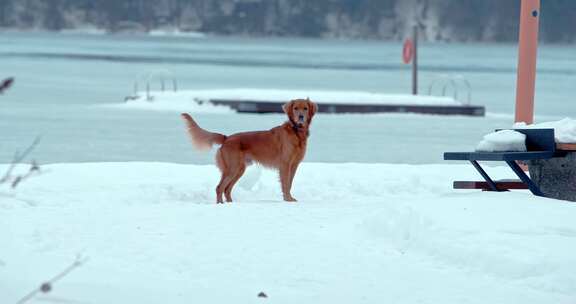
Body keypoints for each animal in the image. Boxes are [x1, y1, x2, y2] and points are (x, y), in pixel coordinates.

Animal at [182, 100, 318, 203]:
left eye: (305, 108)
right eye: (296, 108)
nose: (301, 117)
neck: (296, 132)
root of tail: (227, 138)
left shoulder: (294, 165)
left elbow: (289, 183)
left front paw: (289, 198)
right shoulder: (285, 165)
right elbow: (285, 184)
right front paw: (287, 199)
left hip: (239, 169)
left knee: (227, 189)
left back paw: (230, 203)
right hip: (232, 168)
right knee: (220, 187)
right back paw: (221, 204)